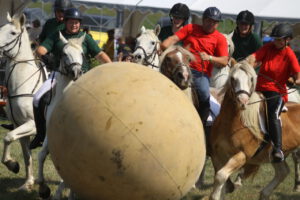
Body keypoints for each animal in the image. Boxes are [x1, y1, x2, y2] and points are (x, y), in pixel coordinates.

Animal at [0, 12, 46, 191]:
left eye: (13, 33)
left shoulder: (32, 125)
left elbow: (7, 137)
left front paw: (12, 164)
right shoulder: (19, 125)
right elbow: (26, 155)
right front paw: (27, 183)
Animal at [37, 32, 85, 199]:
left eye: (82, 53)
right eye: (64, 54)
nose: (76, 73)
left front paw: (56, 193)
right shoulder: (50, 134)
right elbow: (41, 155)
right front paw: (43, 188)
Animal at [210, 59, 300, 200]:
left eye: (251, 79)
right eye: (233, 78)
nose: (243, 101)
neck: (231, 122)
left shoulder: (242, 155)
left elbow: (220, 176)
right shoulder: (217, 155)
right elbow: (221, 183)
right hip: (277, 154)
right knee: (283, 172)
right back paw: (264, 193)